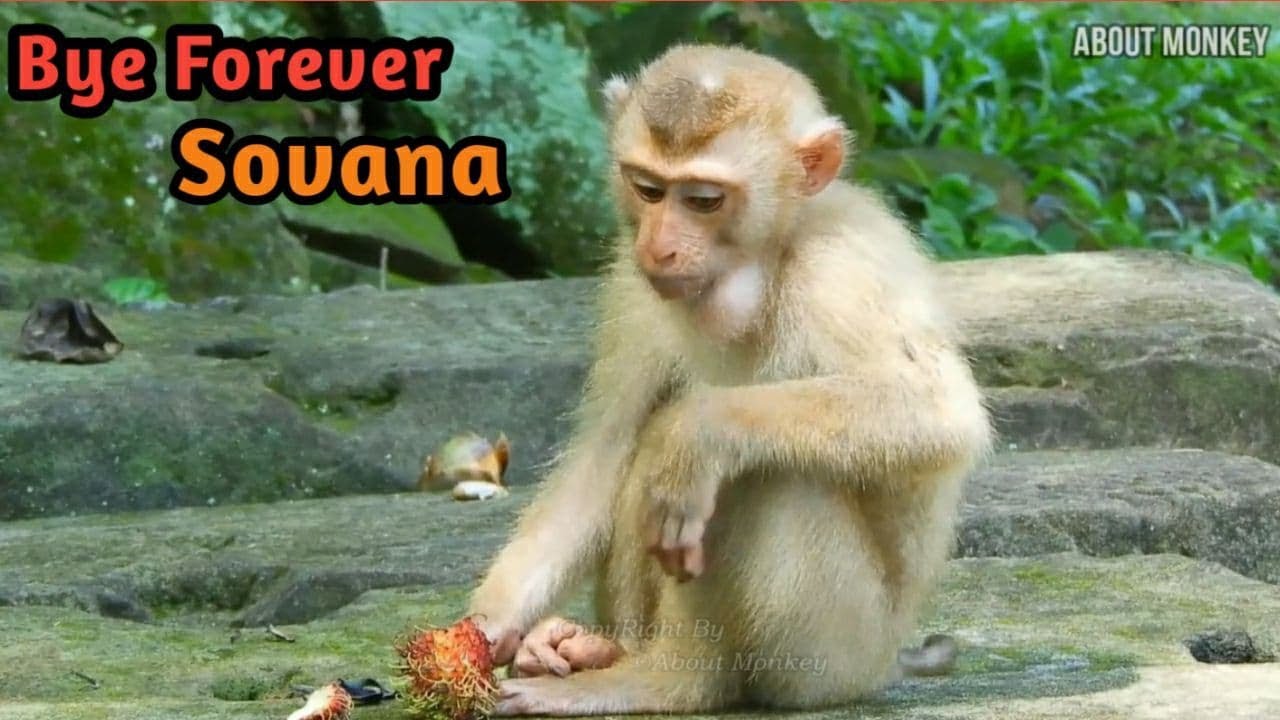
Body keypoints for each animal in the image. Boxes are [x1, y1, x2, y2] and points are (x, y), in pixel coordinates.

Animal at [466, 43, 992, 715]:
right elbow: (603, 453)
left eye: (705, 200)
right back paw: (600, 650)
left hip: (836, 655)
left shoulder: (842, 267)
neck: (758, 264)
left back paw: (668, 678)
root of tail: (885, 665)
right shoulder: (633, 289)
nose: (660, 247)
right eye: (648, 189)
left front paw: (695, 432)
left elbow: (937, 410)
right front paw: (485, 630)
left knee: (764, 474)